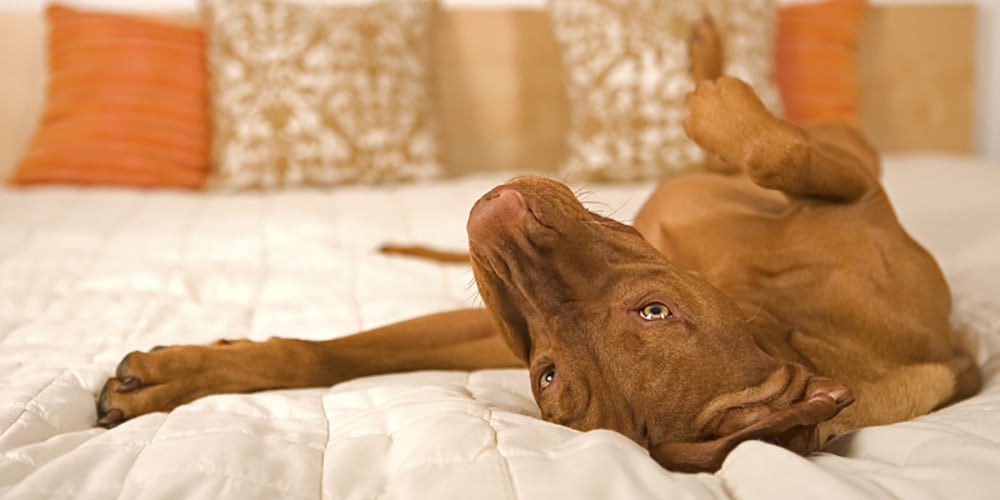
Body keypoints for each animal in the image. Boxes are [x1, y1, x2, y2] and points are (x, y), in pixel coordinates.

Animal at [95, 22, 976, 472]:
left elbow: (775, 148)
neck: (778, 310)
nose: (493, 225)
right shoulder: (495, 322)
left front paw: (720, 104)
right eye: (548, 373)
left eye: (652, 312)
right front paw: (180, 376)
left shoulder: (860, 187)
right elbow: (326, 355)